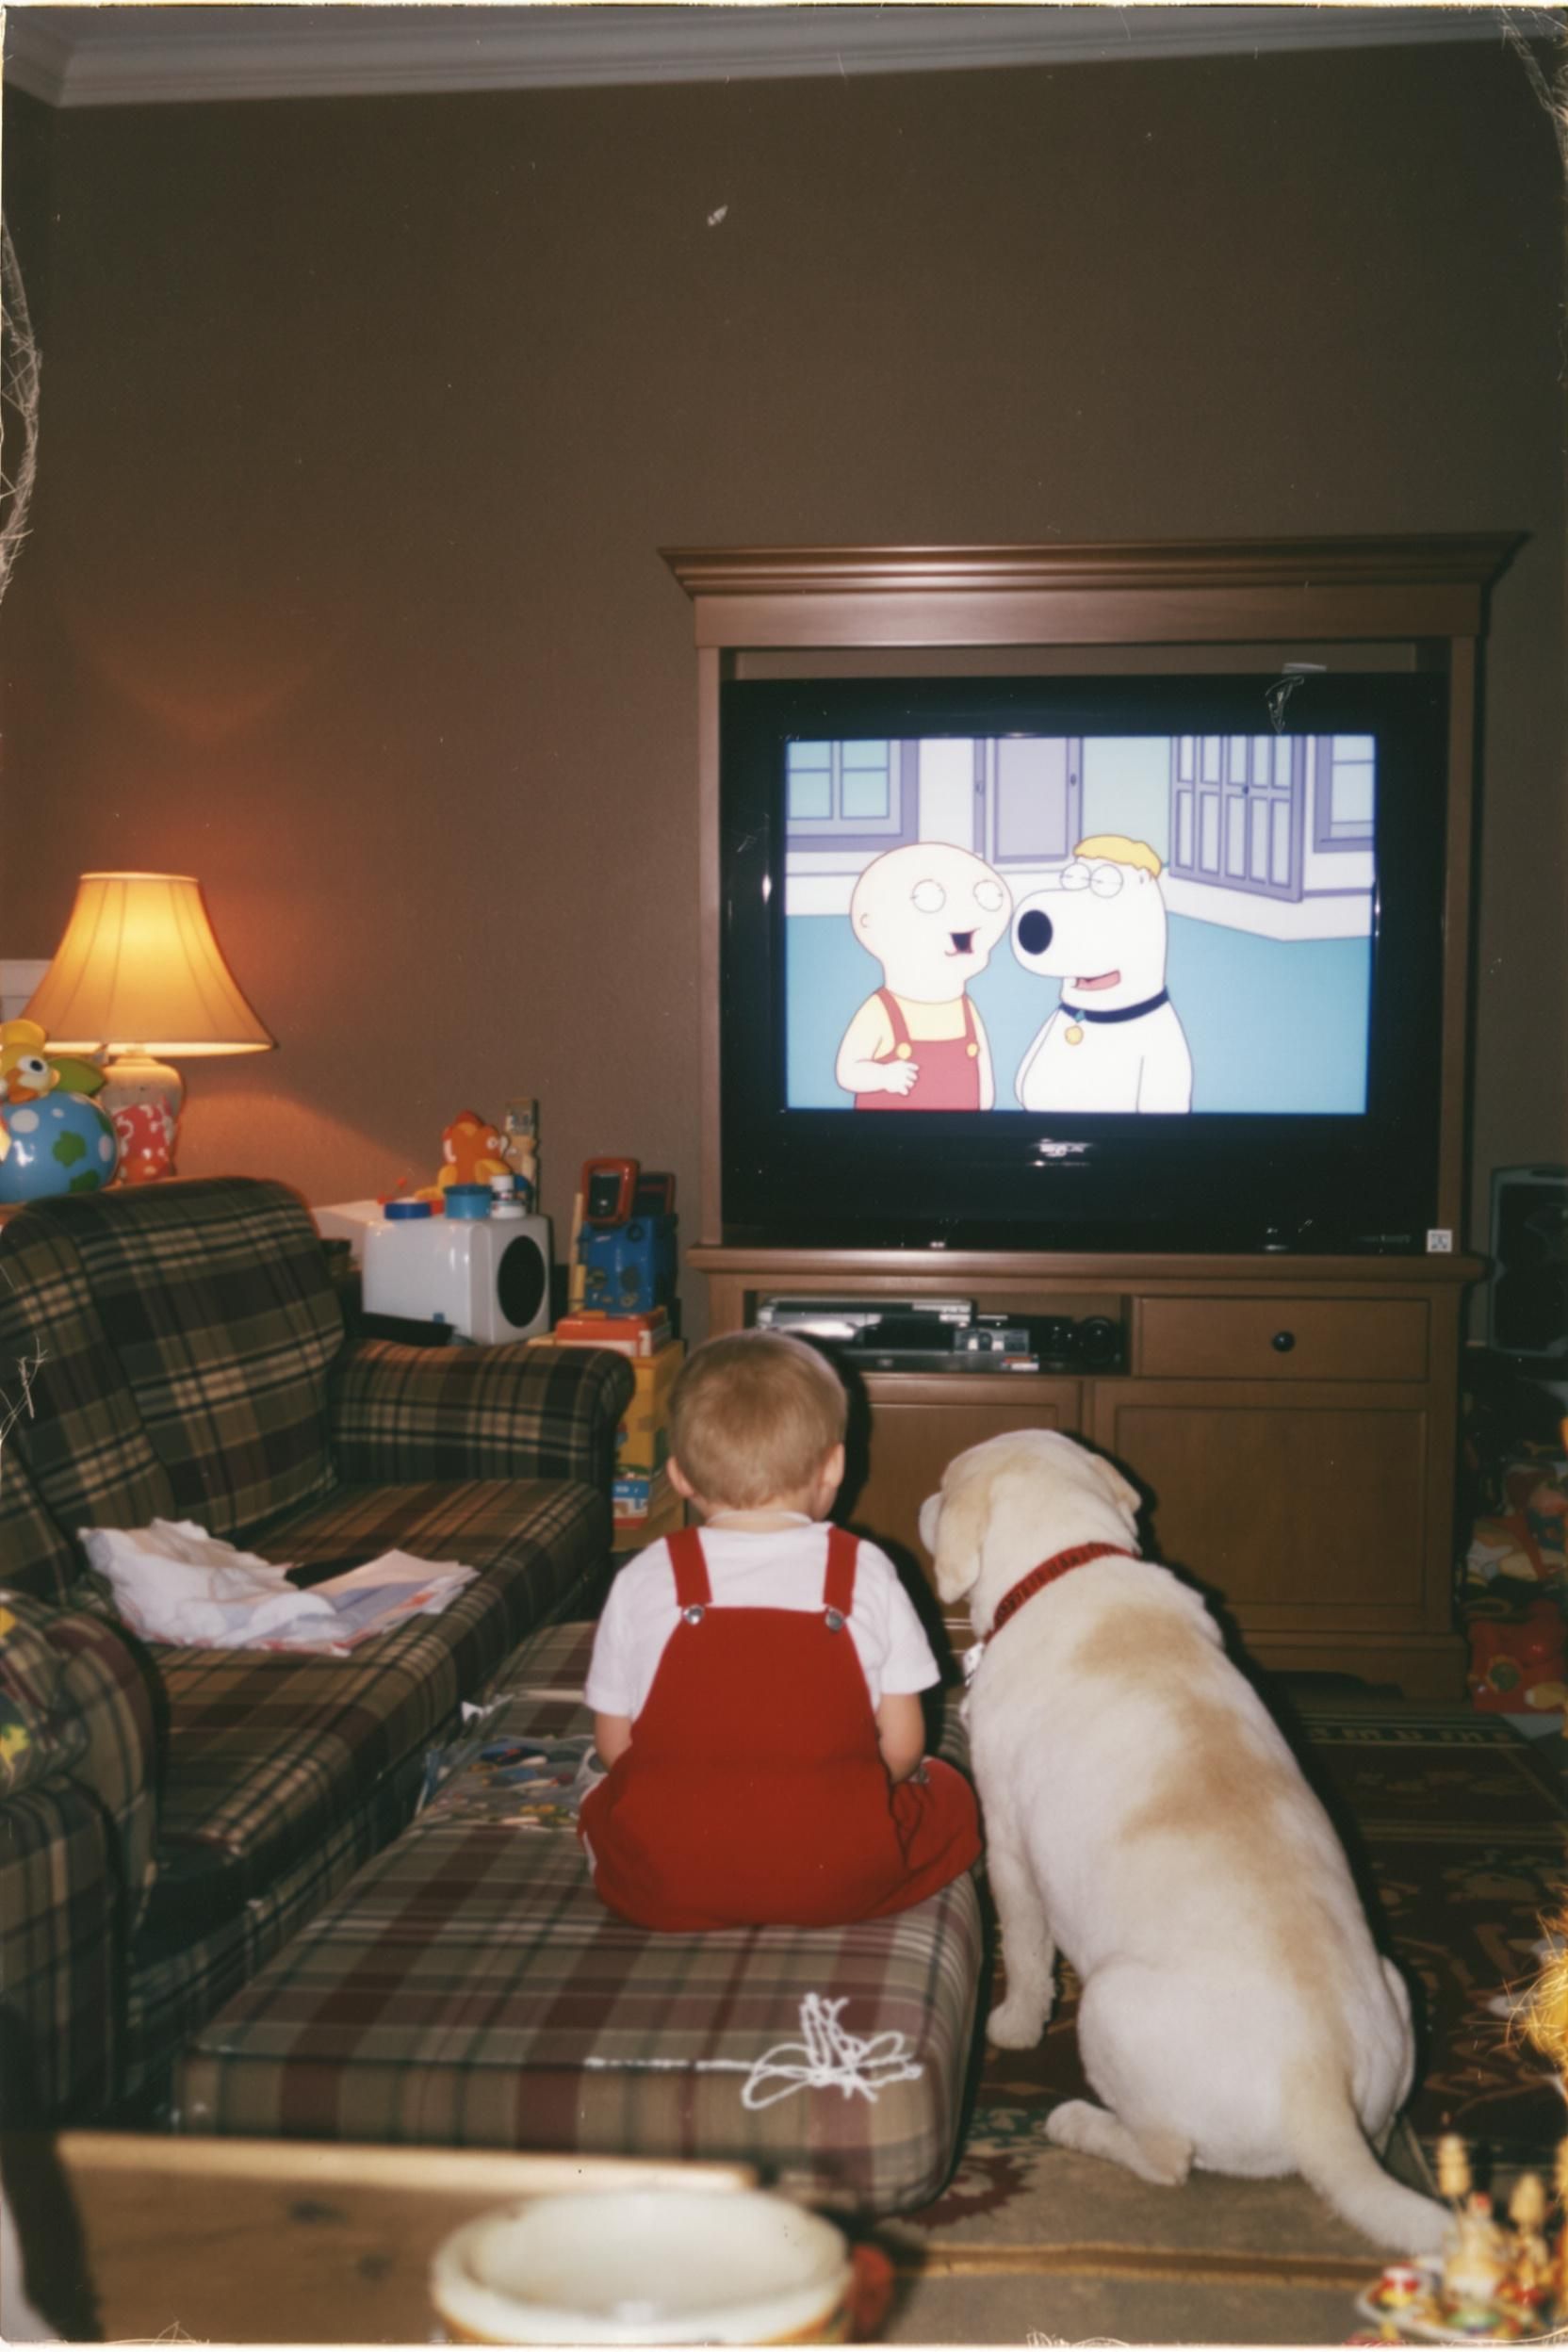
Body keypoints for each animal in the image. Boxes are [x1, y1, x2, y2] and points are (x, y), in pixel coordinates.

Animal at [919, 1428, 1449, 2253]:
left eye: (945, 1490)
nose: (923, 1500)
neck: (1068, 1563)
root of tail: (1320, 2088)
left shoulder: (1007, 1845)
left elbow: (1029, 1954)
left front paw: (1013, 2025)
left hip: (1106, 2008)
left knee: (1165, 2157)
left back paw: (1077, 2123)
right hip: (1396, 1993)